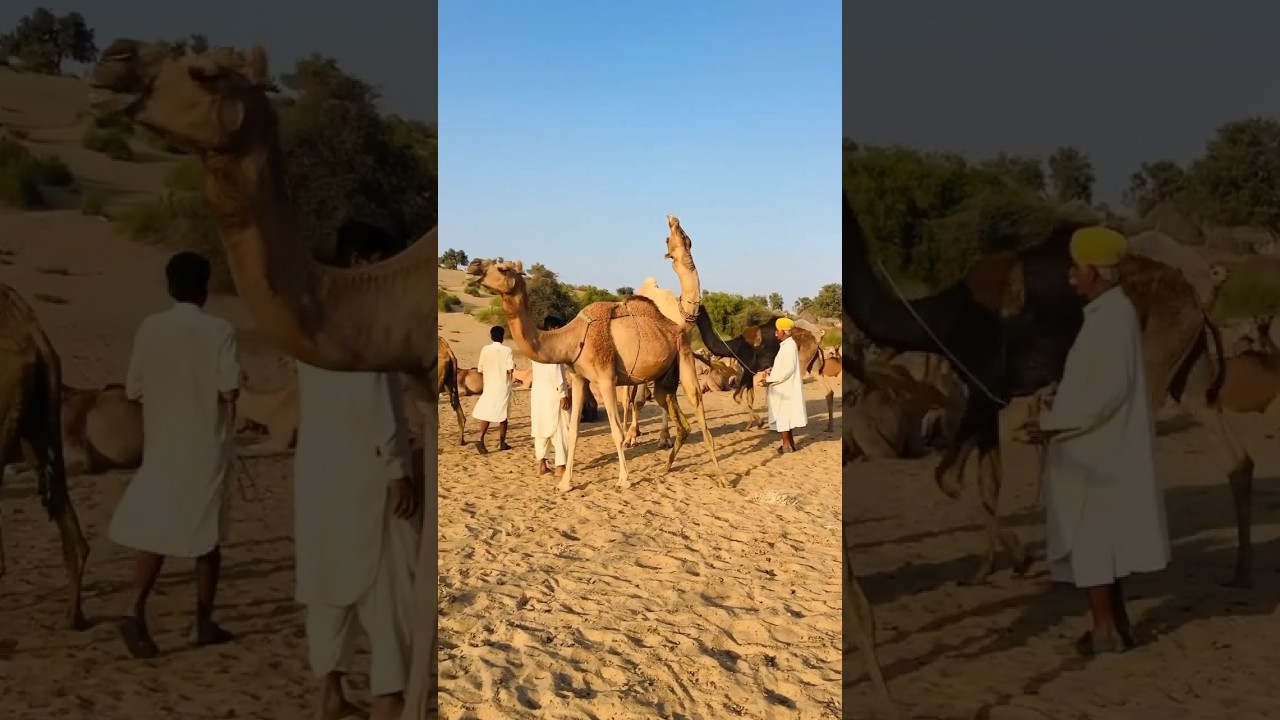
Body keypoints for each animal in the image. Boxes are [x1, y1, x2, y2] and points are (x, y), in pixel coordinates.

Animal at [467, 252, 727, 492]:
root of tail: (677, 327)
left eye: (502, 268)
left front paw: (624, 480)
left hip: (684, 354)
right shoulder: (579, 378)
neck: (573, 339)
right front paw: (565, 483)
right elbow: (572, 432)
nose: (473, 265)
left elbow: (616, 432)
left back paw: (721, 476)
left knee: (698, 408)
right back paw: (665, 467)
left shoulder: (606, 378)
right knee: (680, 420)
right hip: (665, 377)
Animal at [843, 192, 1255, 587]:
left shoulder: (982, 387)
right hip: (1190, 369)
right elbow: (989, 481)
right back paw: (1239, 573)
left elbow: (947, 477)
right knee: (1237, 459)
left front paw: (1021, 557)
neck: (944, 318)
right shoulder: (992, 397)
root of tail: (1196, 303)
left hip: (1151, 363)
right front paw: (984, 570)